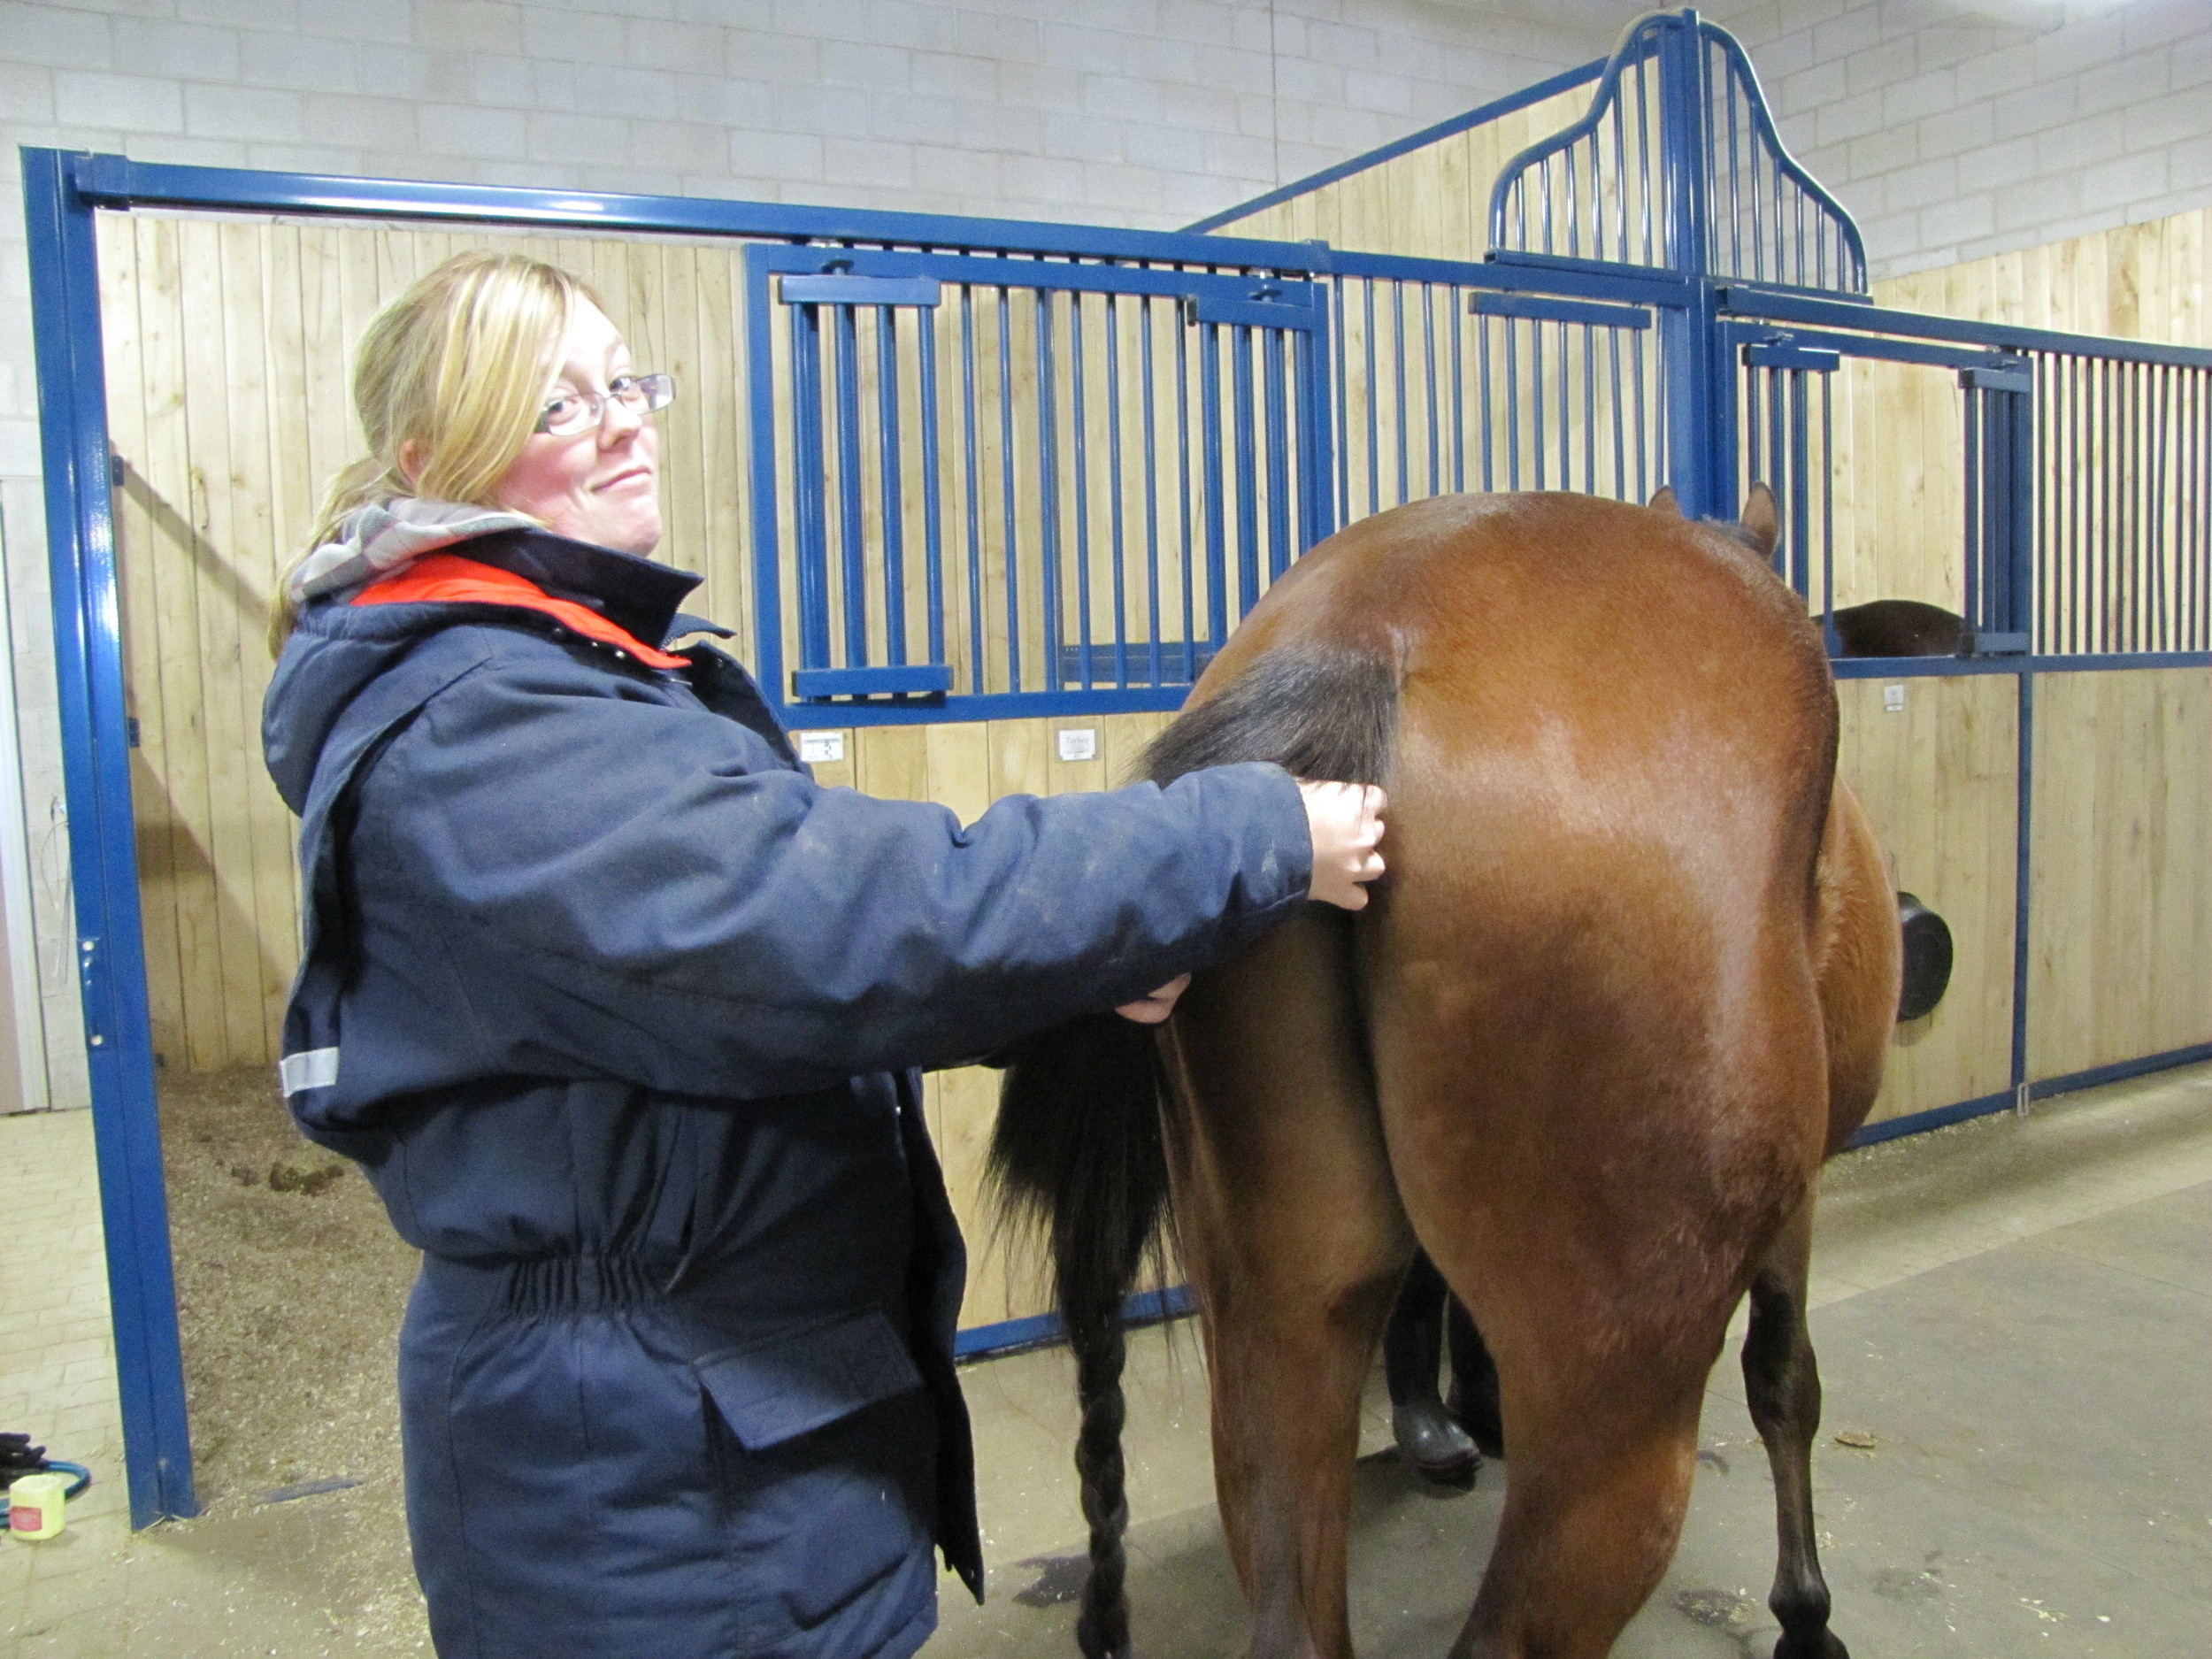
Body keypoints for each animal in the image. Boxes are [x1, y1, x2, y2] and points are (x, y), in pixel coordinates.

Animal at [995, 487, 1893, 1659]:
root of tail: (1365, 643)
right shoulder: (1795, 1209)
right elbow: (1786, 1380)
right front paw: (1807, 1616)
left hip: (1280, 1329)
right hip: (1615, 1432)